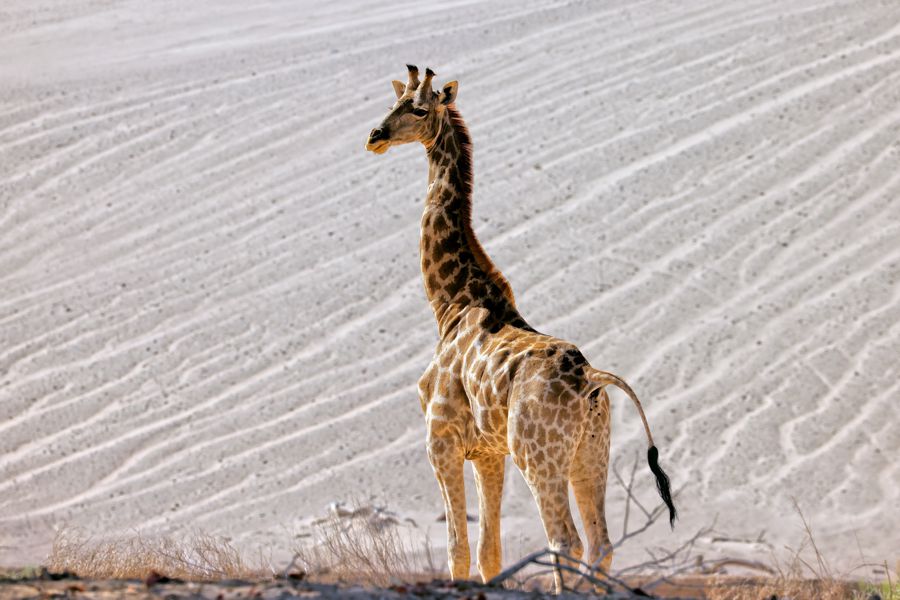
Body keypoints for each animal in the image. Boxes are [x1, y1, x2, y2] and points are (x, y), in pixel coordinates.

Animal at [366, 64, 676, 592]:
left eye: (420, 109)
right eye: (393, 102)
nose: (375, 137)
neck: (451, 302)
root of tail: (591, 380)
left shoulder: (441, 441)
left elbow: (458, 552)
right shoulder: (489, 452)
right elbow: (489, 554)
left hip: (539, 455)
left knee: (564, 541)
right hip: (590, 454)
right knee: (601, 545)